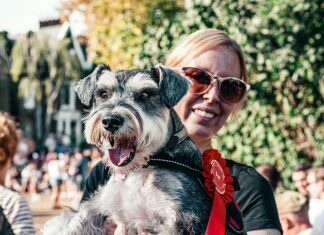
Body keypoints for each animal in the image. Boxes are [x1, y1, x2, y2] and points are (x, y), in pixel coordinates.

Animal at [40, 64, 211, 235]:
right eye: (103, 93)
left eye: (145, 94)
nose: (110, 121)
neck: (142, 167)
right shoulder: (100, 205)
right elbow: (77, 221)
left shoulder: (182, 220)